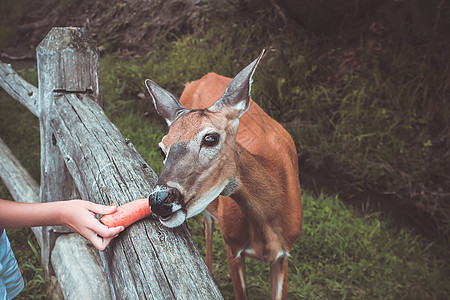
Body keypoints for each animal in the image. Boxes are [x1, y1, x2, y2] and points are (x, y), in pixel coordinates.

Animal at [145, 50, 302, 298]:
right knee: (208, 223)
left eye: (210, 138)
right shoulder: (232, 246)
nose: (159, 200)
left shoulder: (284, 254)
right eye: (162, 148)